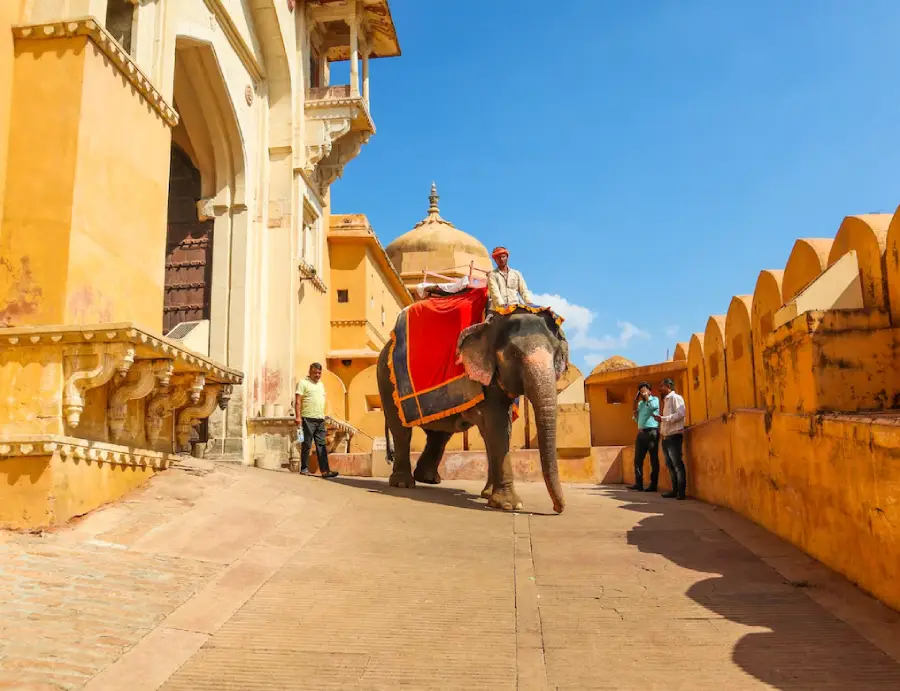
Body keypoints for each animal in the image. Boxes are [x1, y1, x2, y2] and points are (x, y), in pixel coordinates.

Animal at [376, 307, 569, 513]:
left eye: (556, 353)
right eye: (514, 353)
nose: (558, 508)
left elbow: (496, 431)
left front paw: (489, 495)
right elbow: (497, 426)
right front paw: (509, 505)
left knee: (440, 435)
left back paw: (428, 479)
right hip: (386, 380)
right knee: (401, 430)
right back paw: (403, 483)